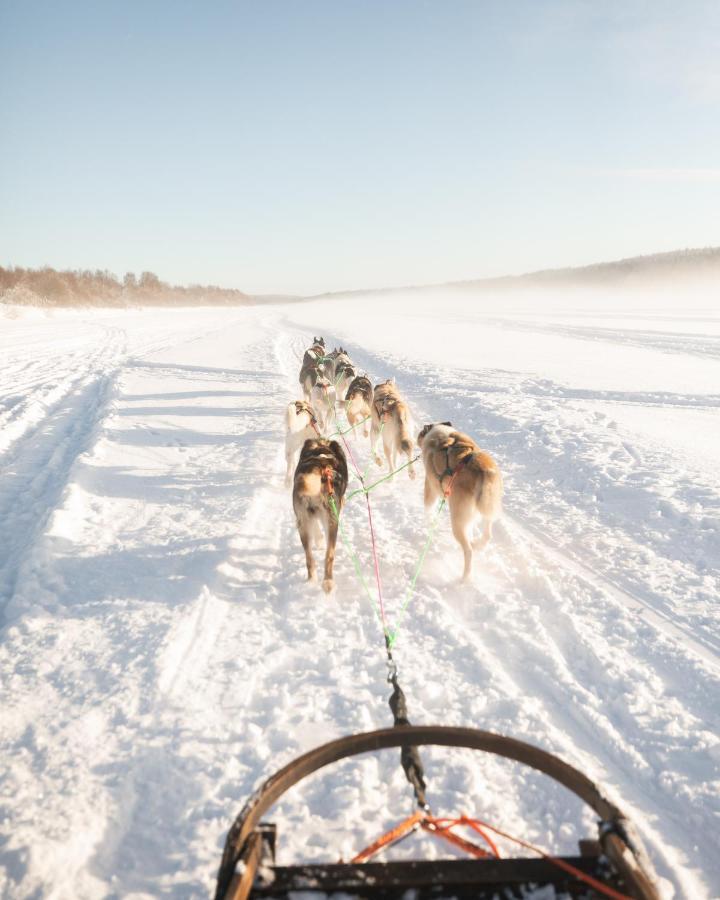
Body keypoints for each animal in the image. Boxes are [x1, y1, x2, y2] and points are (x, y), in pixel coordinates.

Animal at [292, 440, 348, 596]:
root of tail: (318, 469)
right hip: (332, 521)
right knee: (329, 556)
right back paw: (328, 583)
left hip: (303, 524)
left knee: (309, 558)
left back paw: (311, 581)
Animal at [414, 424, 504, 584]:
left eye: (420, 433)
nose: (416, 438)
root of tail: (483, 471)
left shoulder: (430, 487)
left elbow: (428, 510)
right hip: (485, 510)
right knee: (487, 535)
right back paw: (477, 543)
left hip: (457, 521)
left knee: (468, 551)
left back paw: (465, 577)